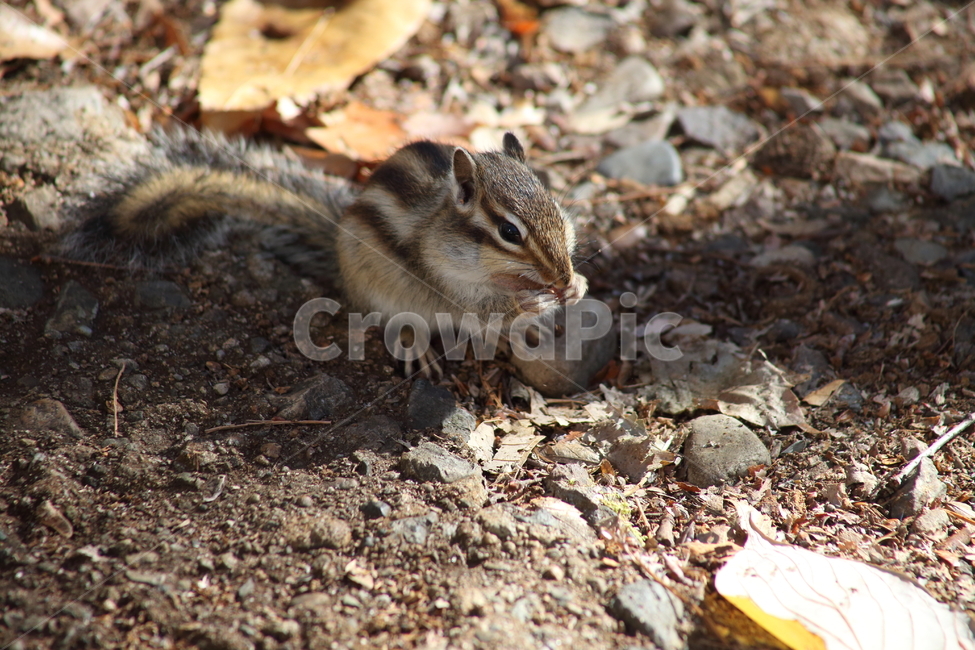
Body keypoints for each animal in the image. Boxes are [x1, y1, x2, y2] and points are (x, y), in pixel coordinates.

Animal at [62, 127, 589, 376]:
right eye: (508, 230)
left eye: (555, 204)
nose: (562, 278)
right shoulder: (442, 278)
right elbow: (481, 305)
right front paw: (534, 301)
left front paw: (576, 288)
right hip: (384, 294)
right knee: (400, 324)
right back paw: (419, 349)